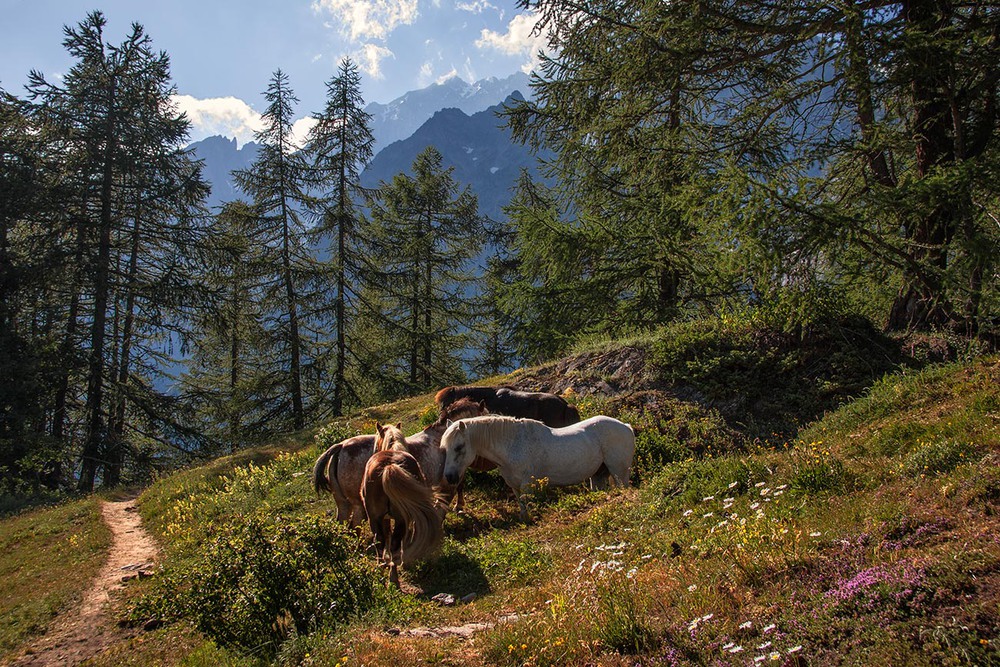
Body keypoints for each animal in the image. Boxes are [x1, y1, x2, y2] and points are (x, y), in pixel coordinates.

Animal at [356, 448, 442, 584]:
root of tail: (389, 466)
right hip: (397, 518)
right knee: (391, 543)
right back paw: (392, 575)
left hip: (379, 518)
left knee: (383, 541)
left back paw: (388, 573)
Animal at [444, 414, 636, 520]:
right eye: (444, 448)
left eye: (459, 447)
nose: (449, 477)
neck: (513, 445)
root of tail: (626, 426)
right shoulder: (515, 487)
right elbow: (522, 507)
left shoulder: (527, 486)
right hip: (598, 475)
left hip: (619, 473)